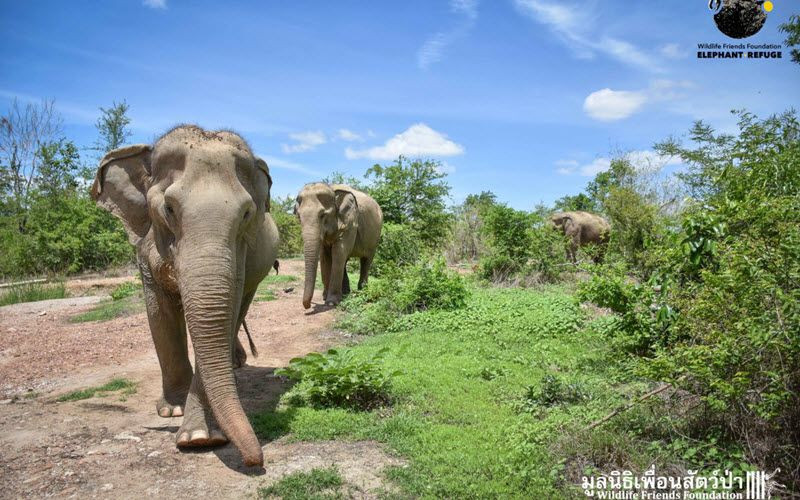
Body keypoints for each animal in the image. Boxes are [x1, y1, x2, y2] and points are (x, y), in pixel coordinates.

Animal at [89, 123, 278, 466]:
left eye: (247, 214)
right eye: (168, 208)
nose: (256, 460)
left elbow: (225, 313)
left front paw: (199, 438)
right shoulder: (145, 247)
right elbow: (159, 314)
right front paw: (172, 411)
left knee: (241, 308)